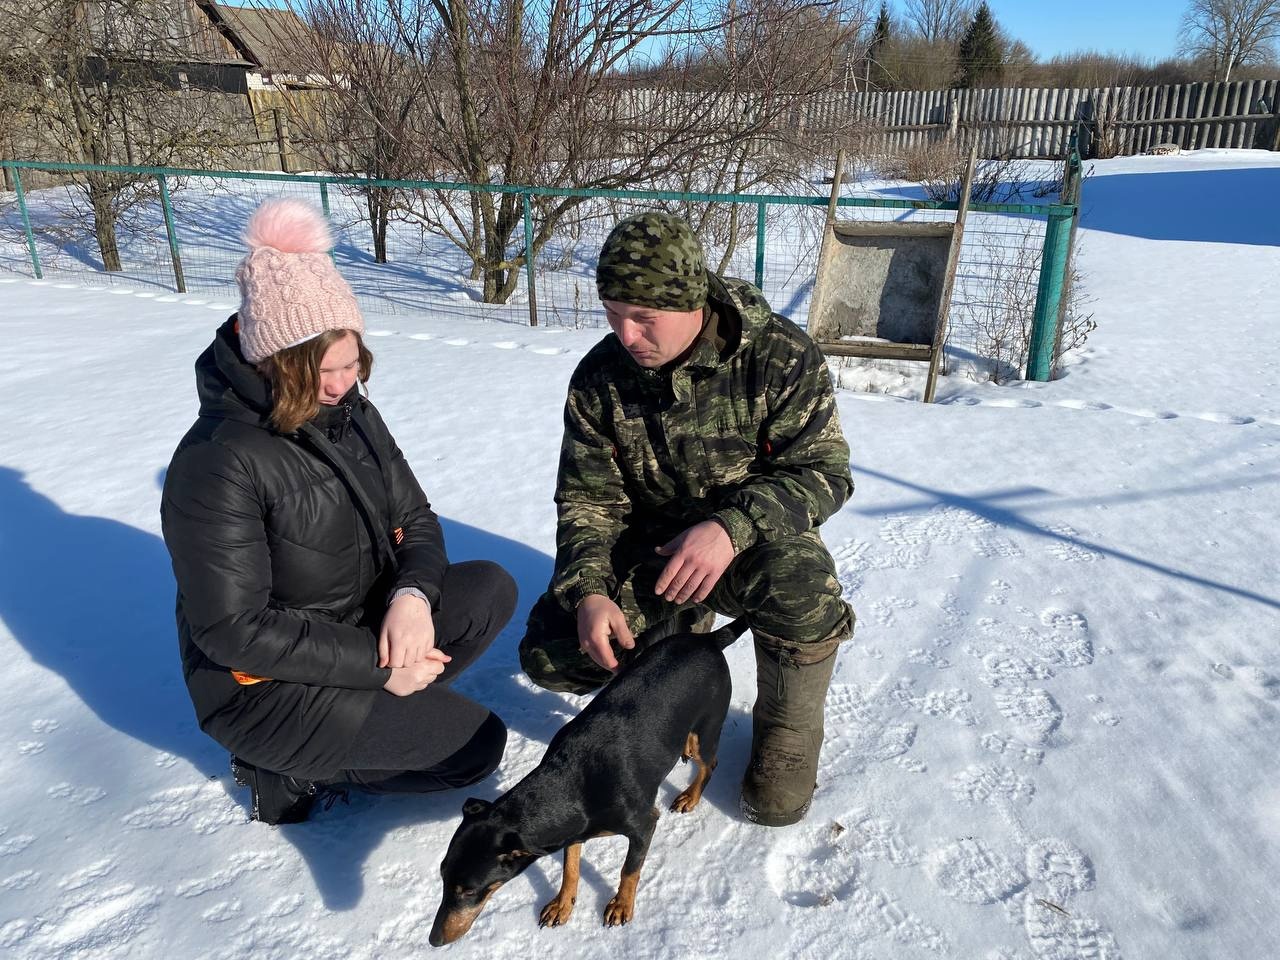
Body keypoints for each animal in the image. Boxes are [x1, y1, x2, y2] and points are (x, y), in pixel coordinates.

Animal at [430, 616, 747, 947]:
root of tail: (709, 640)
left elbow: (629, 869)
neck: (574, 781)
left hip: (708, 726)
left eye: (468, 890)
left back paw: (690, 796)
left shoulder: (644, 824)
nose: (434, 940)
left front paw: (621, 905)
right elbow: (570, 868)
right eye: (442, 876)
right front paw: (562, 905)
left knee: (710, 763)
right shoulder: (572, 831)